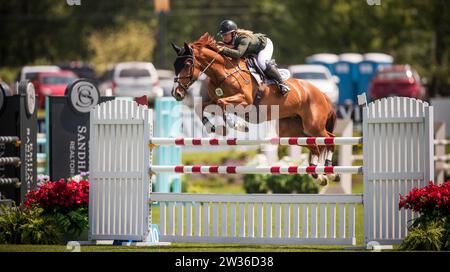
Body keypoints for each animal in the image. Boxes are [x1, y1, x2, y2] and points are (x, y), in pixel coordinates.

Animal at [171, 31, 338, 185]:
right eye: (175, 65)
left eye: (187, 64)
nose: (176, 93)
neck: (224, 72)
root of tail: (322, 94)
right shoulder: (213, 100)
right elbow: (201, 107)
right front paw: (215, 128)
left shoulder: (245, 100)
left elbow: (223, 103)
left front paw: (237, 125)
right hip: (291, 131)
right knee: (314, 146)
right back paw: (318, 175)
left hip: (313, 125)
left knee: (329, 138)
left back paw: (330, 170)